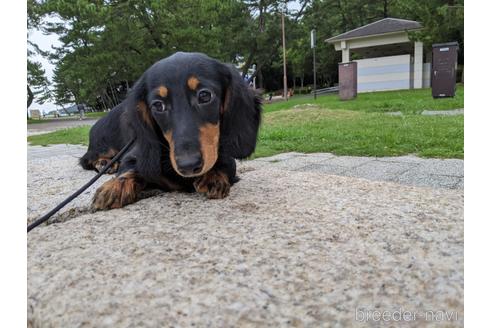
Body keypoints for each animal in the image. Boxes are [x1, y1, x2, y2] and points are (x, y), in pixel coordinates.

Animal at [80, 51, 262, 210]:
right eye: (158, 105)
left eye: (205, 96)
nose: (188, 166)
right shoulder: (134, 156)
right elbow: (130, 168)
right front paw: (115, 186)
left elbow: (224, 164)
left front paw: (214, 175)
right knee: (87, 159)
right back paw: (104, 163)